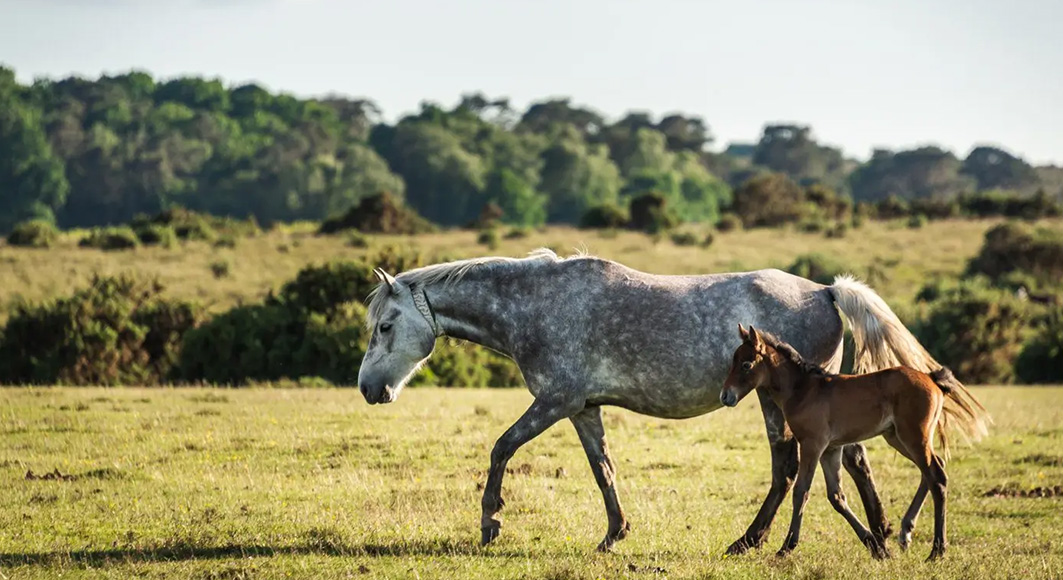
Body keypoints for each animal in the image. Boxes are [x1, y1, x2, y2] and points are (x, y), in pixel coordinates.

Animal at [357, 249, 945, 553]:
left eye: (385, 326)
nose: (368, 389)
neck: (536, 303)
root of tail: (826, 290)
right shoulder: (582, 408)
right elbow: (603, 470)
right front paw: (614, 534)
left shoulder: (554, 402)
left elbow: (501, 448)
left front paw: (490, 524)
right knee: (847, 460)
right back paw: (879, 534)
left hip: (781, 404)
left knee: (794, 468)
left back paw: (757, 541)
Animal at [720, 325, 989, 561]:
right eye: (732, 361)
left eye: (746, 364)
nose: (726, 396)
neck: (803, 390)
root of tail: (932, 379)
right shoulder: (831, 449)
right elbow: (836, 496)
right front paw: (877, 548)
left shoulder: (812, 445)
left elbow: (801, 491)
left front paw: (786, 548)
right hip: (898, 438)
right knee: (933, 470)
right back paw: (907, 532)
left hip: (913, 436)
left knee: (937, 476)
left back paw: (937, 550)